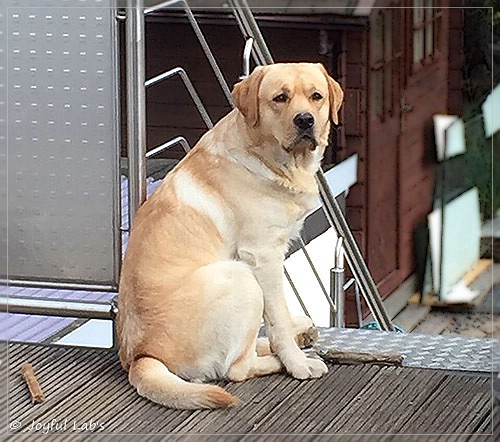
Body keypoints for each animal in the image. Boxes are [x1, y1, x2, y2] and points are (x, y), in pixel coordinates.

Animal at [117, 61, 344, 408]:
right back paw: (285, 358)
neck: (272, 159)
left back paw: (299, 335)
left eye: (316, 96)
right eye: (280, 98)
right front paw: (296, 363)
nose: (305, 120)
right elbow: (277, 316)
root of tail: (140, 357)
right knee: (237, 368)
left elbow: (276, 316)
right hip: (240, 277)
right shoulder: (262, 255)